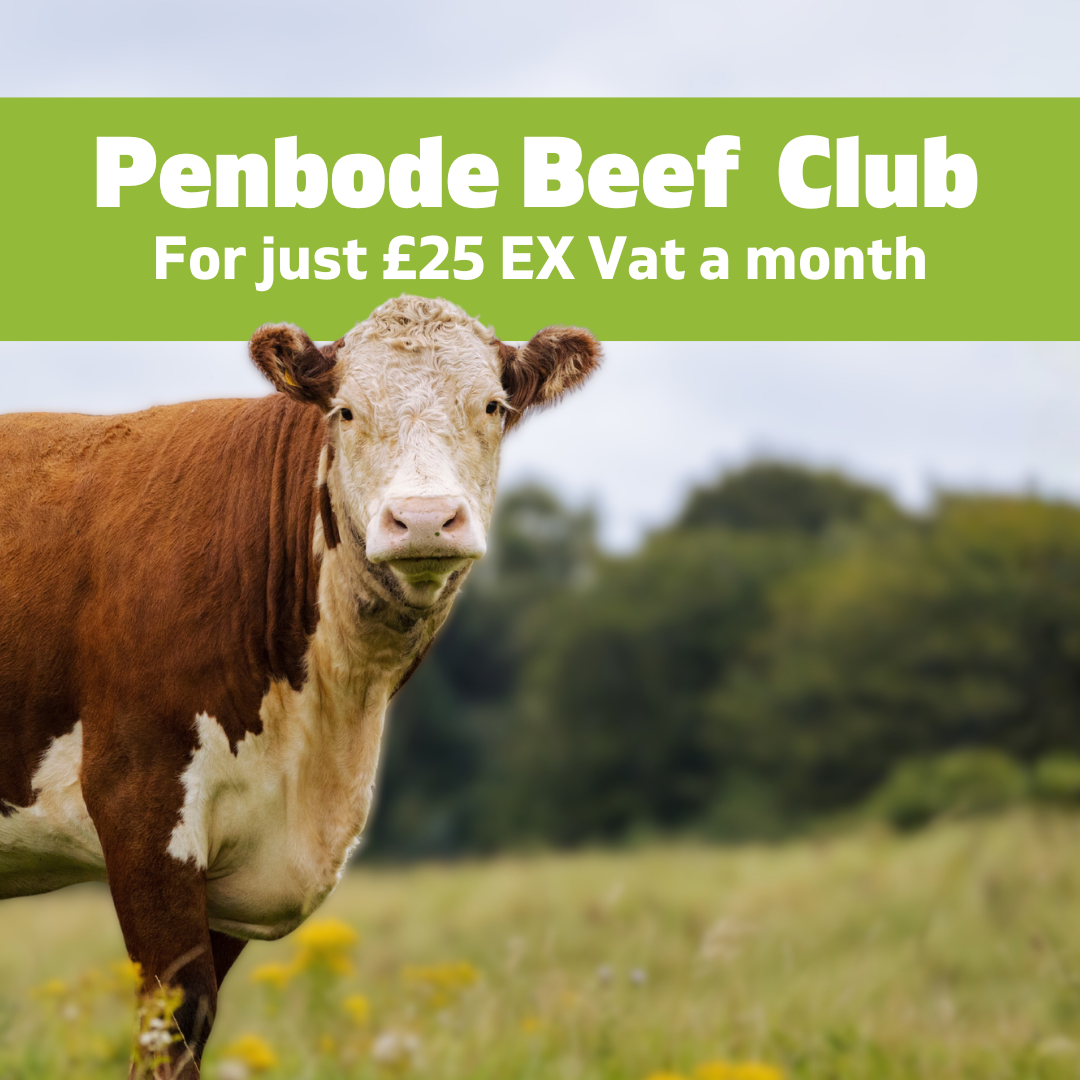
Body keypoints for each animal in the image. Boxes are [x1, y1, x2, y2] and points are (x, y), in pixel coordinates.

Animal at [0, 295, 601, 1076]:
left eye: (494, 406)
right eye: (345, 411)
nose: (424, 519)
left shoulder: (242, 861)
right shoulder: (139, 798)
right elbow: (172, 1022)